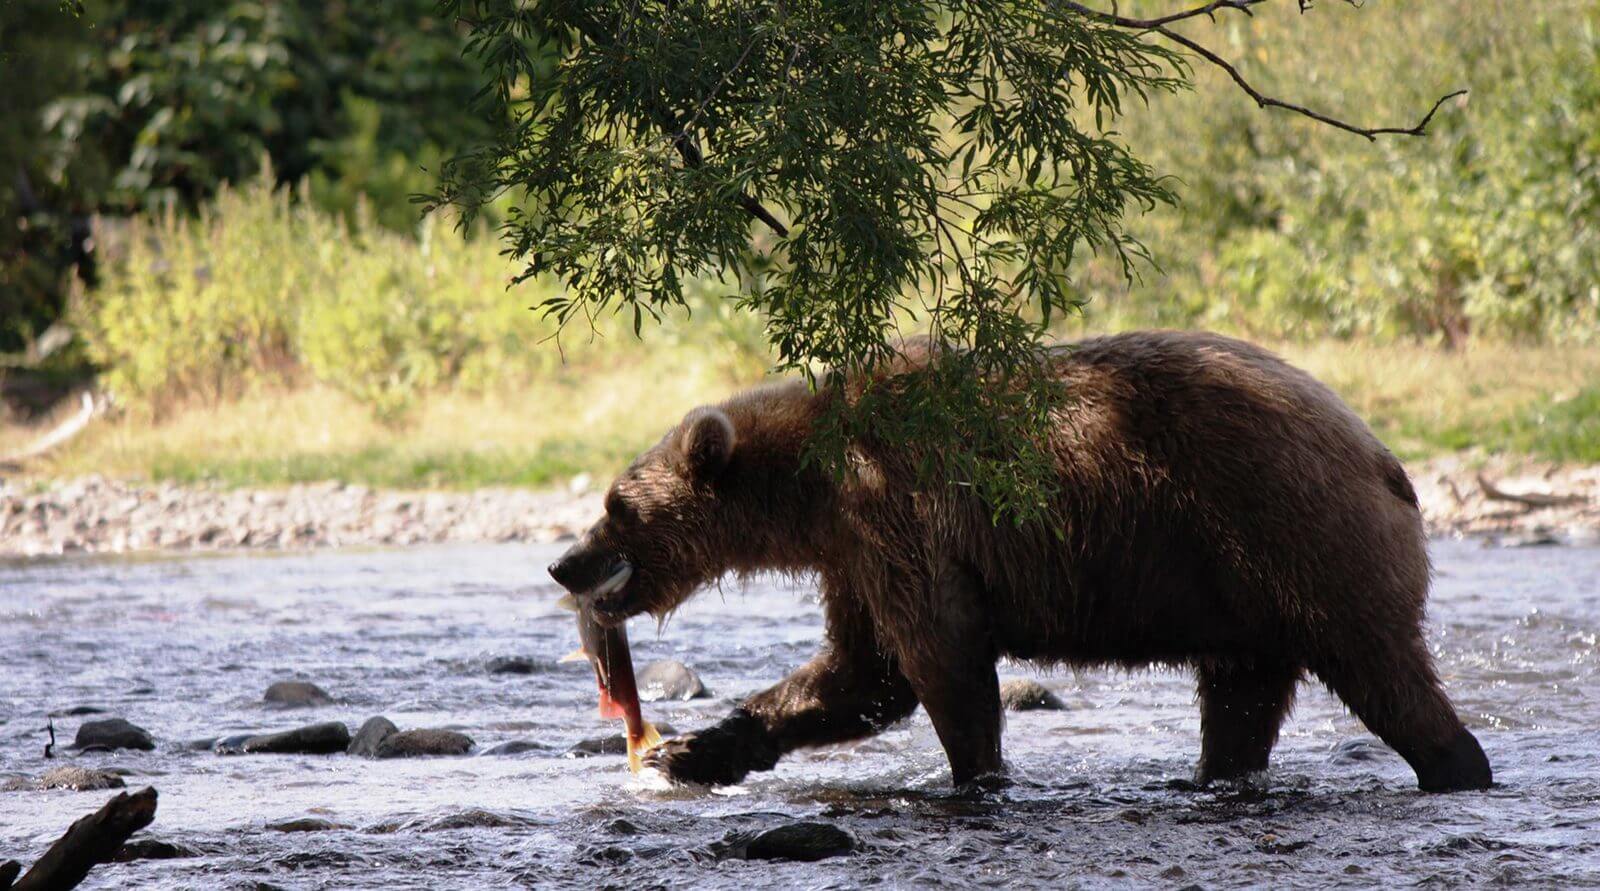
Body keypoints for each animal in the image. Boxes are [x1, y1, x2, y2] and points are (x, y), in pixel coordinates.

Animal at [544, 329, 1491, 790]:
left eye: (616, 504)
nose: (564, 564)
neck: (809, 489)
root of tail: (1385, 455)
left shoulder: (900, 510)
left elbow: (939, 662)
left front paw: (977, 775)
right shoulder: (856, 554)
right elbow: (858, 672)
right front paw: (688, 750)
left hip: (1295, 533)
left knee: (1381, 668)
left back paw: (1458, 766)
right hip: (1243, 597)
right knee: (1240, 699)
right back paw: (1212, 778)